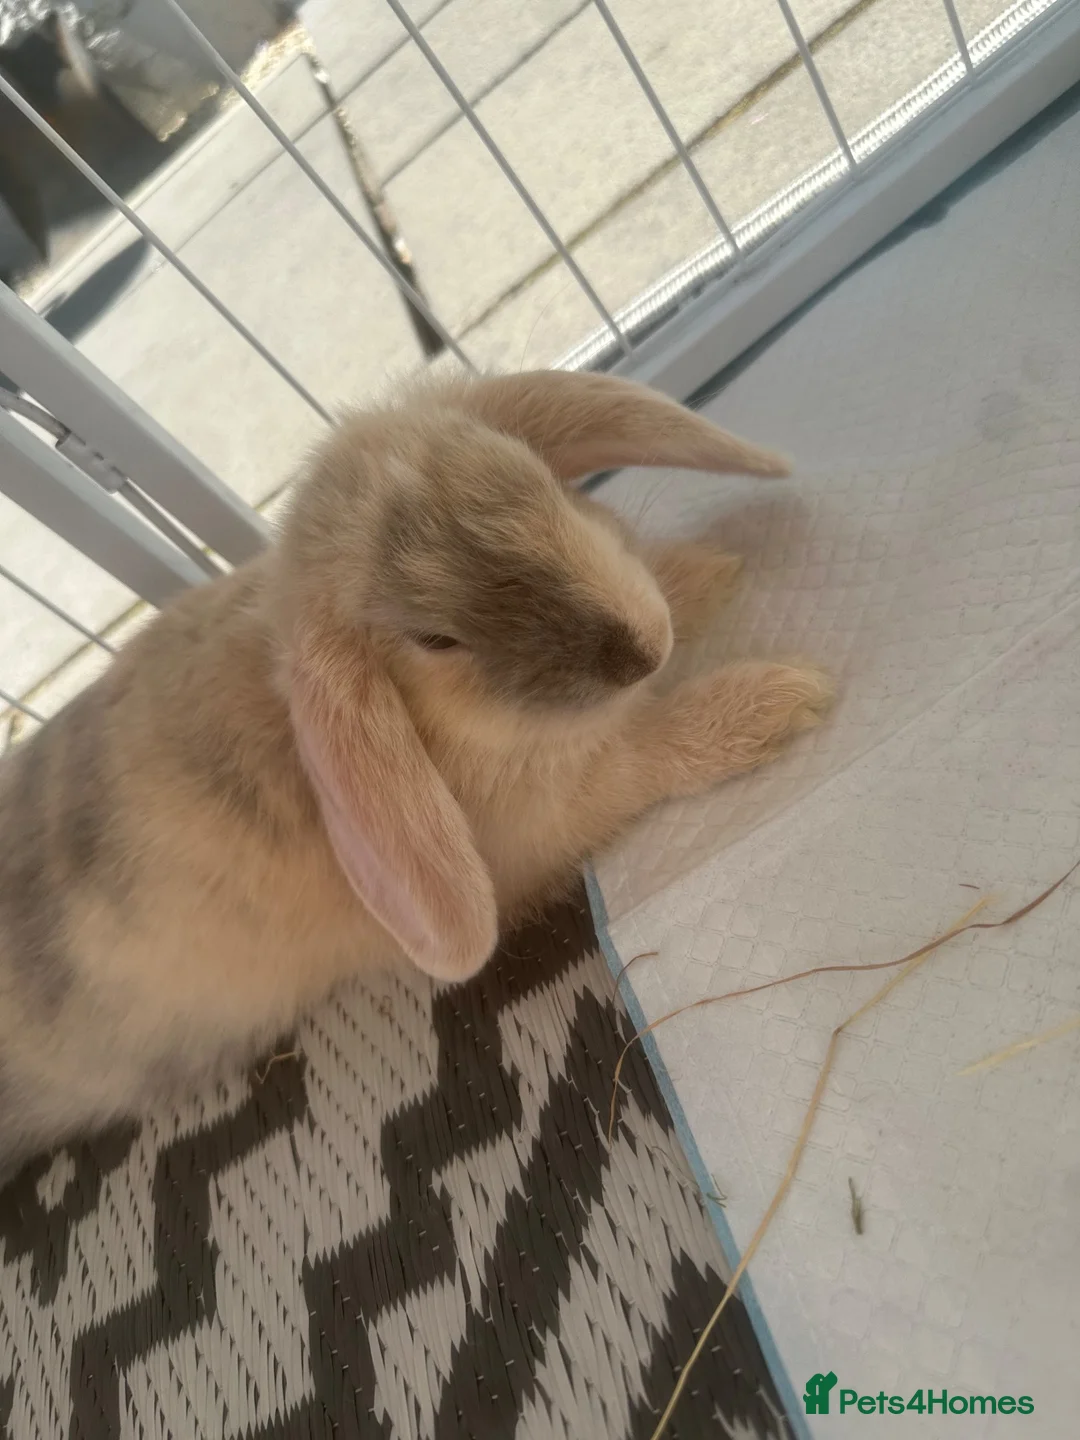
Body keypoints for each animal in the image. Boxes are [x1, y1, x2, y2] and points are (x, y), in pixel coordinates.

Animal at [0, 370, 831, 1181]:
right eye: (436, 640)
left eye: (534, 479)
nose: (639, 652)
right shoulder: (551, 813)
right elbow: (643, 752)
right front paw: (780, 699)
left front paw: (707, 572)